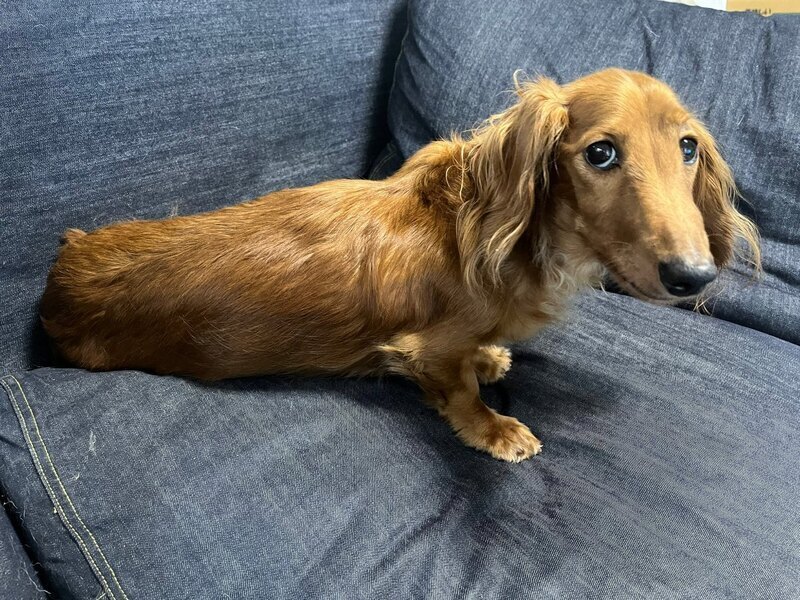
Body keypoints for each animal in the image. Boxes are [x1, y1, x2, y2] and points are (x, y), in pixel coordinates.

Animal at [41, 68, 759, 462]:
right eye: (601, 153)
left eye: (688, 146)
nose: (694, 275)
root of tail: (60, 272)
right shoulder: (425, 348)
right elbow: (459, 391)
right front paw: (495, 428)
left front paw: (491, 356)